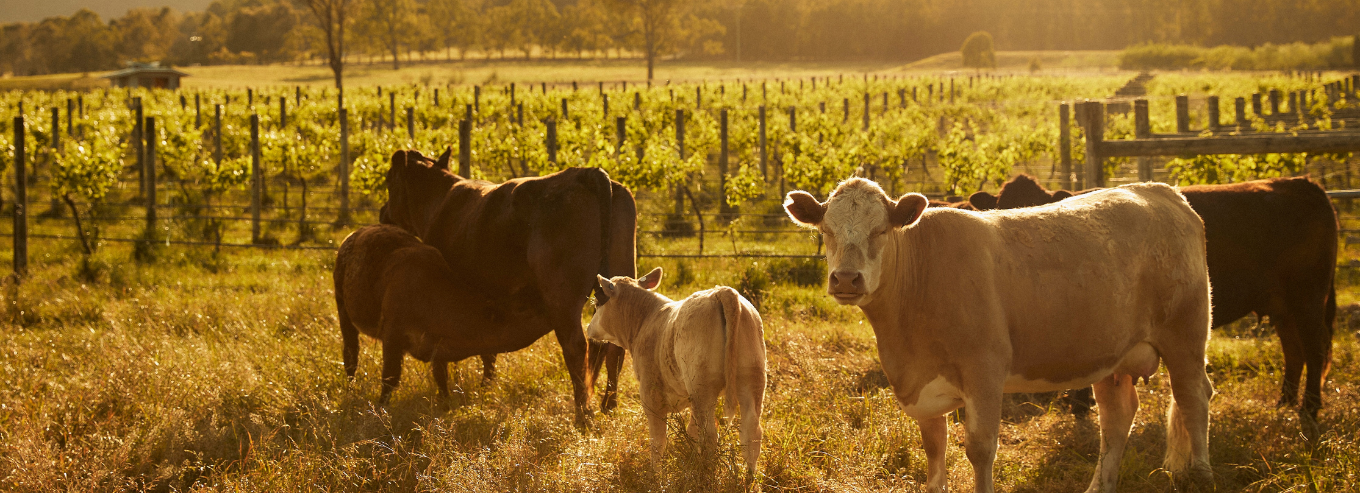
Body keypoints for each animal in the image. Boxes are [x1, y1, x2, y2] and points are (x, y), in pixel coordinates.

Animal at [335, 224, 552, 403]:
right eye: (522, 308)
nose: (548, 308)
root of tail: (353, 235)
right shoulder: (392, 338)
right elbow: (390, 378)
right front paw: (381, 409)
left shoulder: (437, 345)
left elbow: (441, 377)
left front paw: (445, 404)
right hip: (344, 314)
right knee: (351, 354)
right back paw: (350, 389)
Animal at [383, 150, 636, 424]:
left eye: (389, 182)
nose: (383, 212)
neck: (439, 201)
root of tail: (586, 173)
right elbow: (488, 347)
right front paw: (486, 388)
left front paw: (448, 397)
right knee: (614, 347)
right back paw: (608, 405)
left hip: (563, 299)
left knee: (577, 347)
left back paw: (583, 414)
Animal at [587, 268, 767, 479]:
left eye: (598, 303)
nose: (588, 328)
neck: (645, 320)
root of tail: (722, 292)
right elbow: (688, 432)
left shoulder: (651, 397)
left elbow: (658, 441)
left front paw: (656, 476)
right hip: (752, 379)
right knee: (751, 433)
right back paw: (749, 479)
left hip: (703, 389)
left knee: (709, 436)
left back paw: (704, 475)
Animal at [783, 178, 1218, 492]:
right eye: (826, 230)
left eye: (880, 231)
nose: (846, 279)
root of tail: (1160, 190)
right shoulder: (924, 387)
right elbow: (934, 451)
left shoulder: (984, 371)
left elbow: (979, 449)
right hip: (1111, 355)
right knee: (1117, 418)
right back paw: (1100, 487)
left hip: (1186, 335)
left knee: (1193, 397)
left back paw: (1201, 474)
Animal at [973, 174, 1332, 424]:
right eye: (998, 208)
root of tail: (1303, 183)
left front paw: (1080, 406)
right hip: (1283, 305)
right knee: (1294, 351)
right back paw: (1284, 403)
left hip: (1309, 297)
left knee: (1314, 351)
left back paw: (1309, 411)